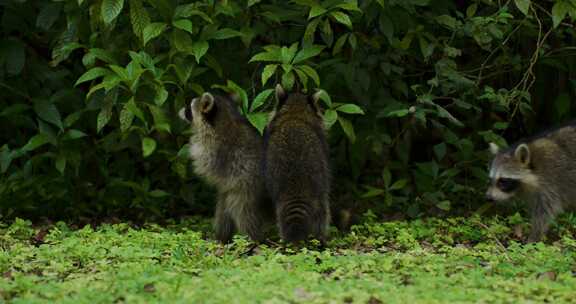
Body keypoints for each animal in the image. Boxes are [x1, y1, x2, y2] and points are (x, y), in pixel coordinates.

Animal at [178, 91, 270, 243]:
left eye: (189, 108)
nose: (180, 110)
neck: (225, 119)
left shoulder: (215, 151)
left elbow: (204, 164)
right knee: (224, 207)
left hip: (250, 186)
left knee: (241, 211)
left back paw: (252, 240)